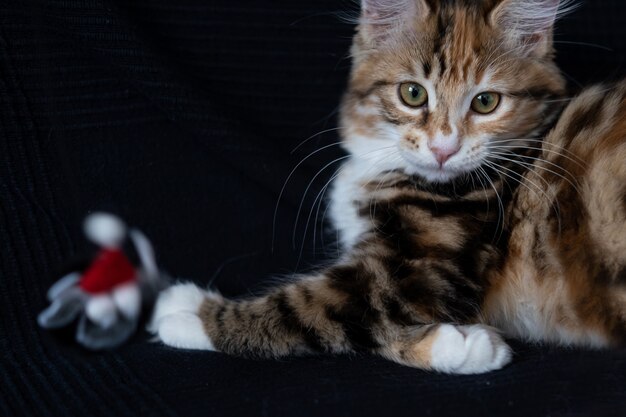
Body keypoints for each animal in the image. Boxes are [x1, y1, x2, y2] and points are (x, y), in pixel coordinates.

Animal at [147, 0, 624, 374]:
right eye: (412, 94)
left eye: (486, 102)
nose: (444, 148)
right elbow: (379, 328)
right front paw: (466, 347)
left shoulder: (410, 273)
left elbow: (302, 306)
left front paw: (187, 313)